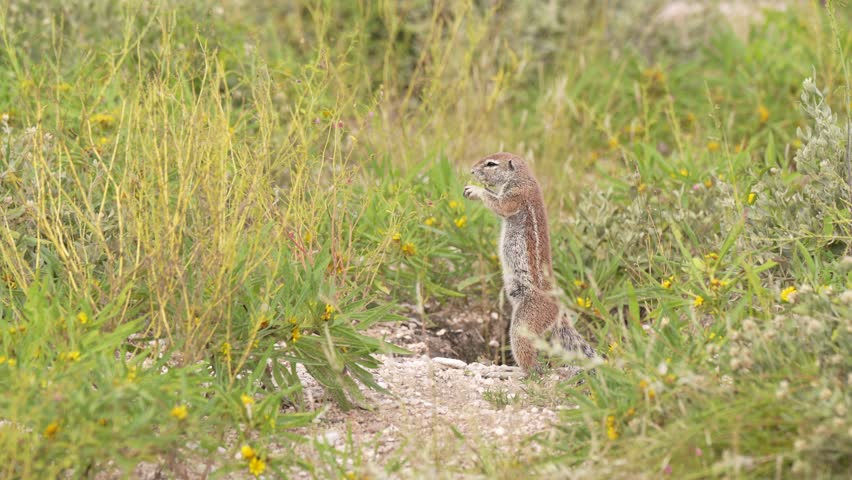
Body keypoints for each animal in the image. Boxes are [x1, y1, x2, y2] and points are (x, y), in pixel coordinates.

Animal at [463, 152, 597, 373]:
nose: (472, 171)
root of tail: (558, 308)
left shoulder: (516, 195)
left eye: (491, 164)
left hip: (526, 321)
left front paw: (475, 190)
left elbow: (500, 204)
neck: (521, 177)